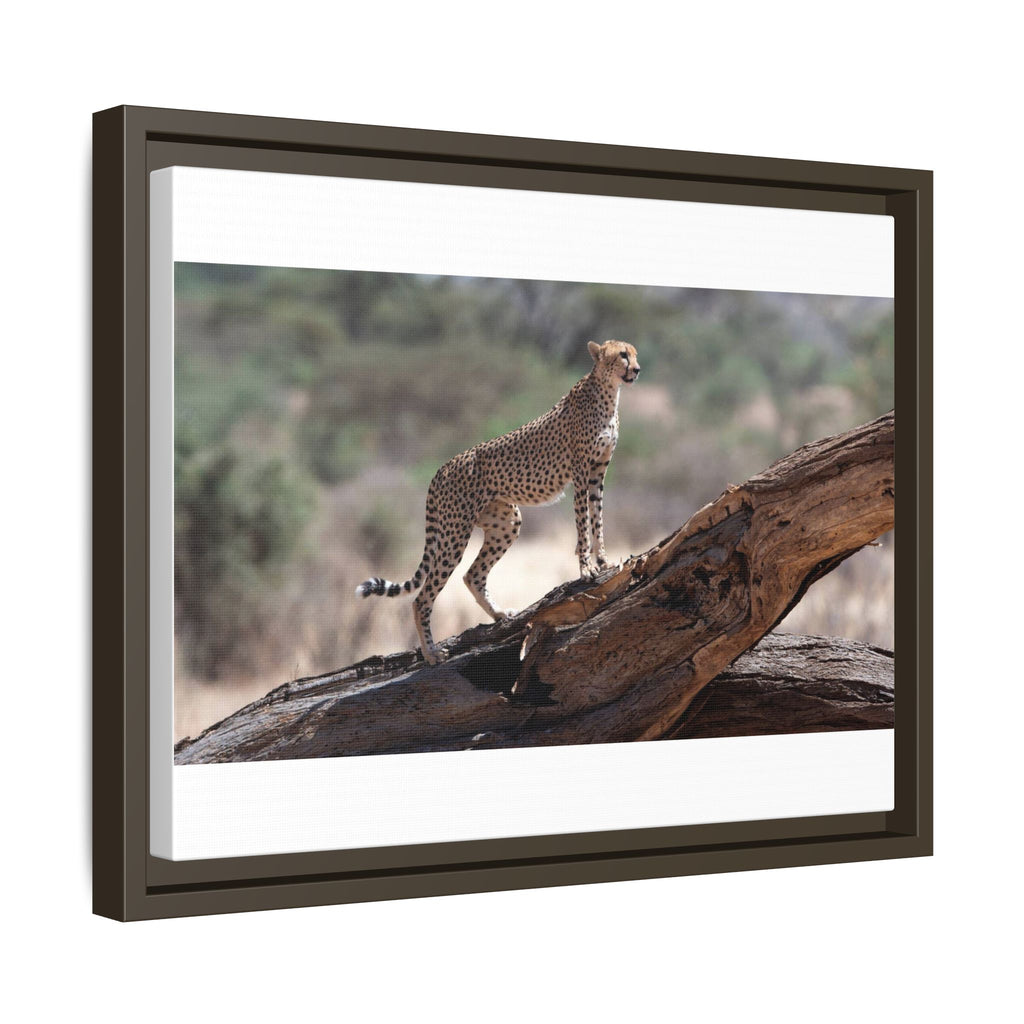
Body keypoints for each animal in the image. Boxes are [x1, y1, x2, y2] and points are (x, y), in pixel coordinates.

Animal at [356, 339, 641, 664]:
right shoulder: (581, 472)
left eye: (634, 354)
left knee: (472, 575)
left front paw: (604, 560)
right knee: (423, 597)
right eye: (622, 355)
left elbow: (597, 518)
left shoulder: (597, 473)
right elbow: (583, 523)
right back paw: (431, 653)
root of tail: (442, 468)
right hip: (454, 533)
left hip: (506, 522)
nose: (637, 369)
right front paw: (586, 568)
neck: (608, 392)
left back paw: (499, 614)